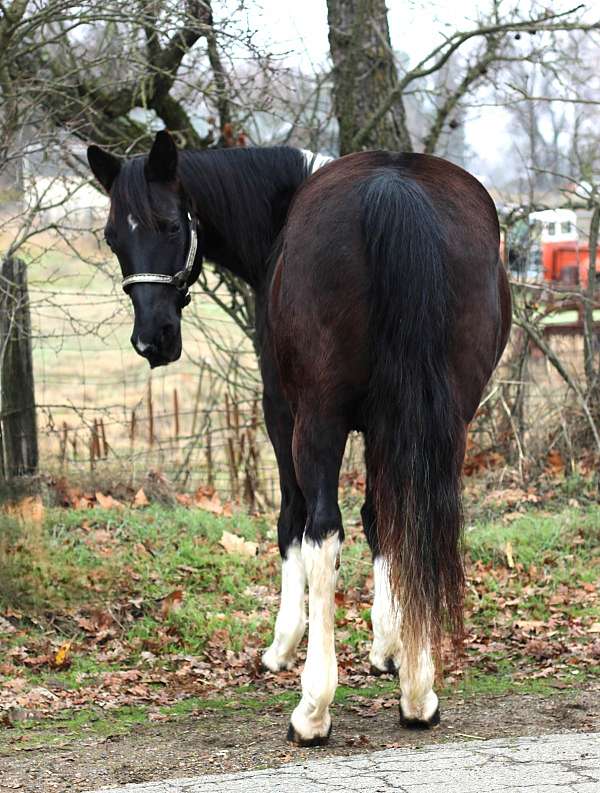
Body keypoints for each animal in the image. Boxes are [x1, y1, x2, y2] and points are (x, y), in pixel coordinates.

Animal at [89, 130, 510, 744]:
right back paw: (419, 694)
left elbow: (293, 521)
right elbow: (382, 519)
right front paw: (389, 649)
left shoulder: (281, 410)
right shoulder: (389, 422)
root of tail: (392, 190)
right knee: (415, 516)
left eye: (169, 225)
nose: (153, 339)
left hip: (315, 420)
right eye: (113, 236)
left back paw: (314, 708)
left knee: (322, 531)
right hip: (447, 415)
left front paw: (283, 646)